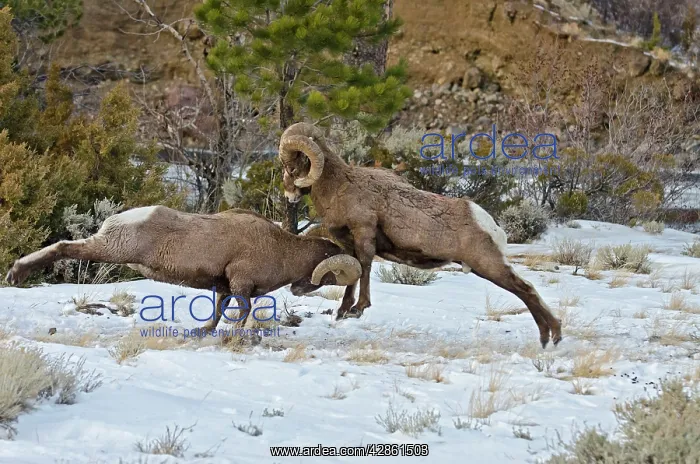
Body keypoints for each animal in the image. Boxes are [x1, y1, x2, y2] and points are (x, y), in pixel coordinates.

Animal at [5, 206, 361, 330]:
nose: (299, 289)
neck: (281, 249)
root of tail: (121, 219)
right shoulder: (241, 285)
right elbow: (240, 314)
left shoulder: (224, 288)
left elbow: (217, 314)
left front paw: (201, 334)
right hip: (111, 249)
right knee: (64, 248)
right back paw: (16, 274)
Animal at [278, 123, 562, 348]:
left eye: (291, 167)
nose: (289, 195)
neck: (339, 187)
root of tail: (488, 224)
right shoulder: (348, 243)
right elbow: (353, 274)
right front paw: (343, 311)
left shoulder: (363, 234)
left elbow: (365, 268)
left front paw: (357, 310)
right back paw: (549, 338)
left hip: (489, 265)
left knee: (526, 290)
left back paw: (552, 337)